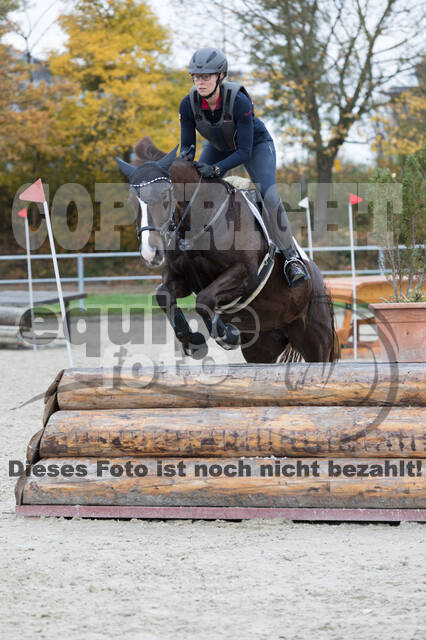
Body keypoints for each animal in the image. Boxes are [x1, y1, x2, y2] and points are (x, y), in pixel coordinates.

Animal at [116, 137, 340, 362]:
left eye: (164, 197)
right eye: (131, 202)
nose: (150, 253)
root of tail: (319, 279)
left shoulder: (245, 274)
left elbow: (204, 299)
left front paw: (227, 335)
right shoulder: (182, 278)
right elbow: (164, 295)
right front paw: (194, 342)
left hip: (315, 341)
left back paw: (295, 270)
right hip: (261, 346)